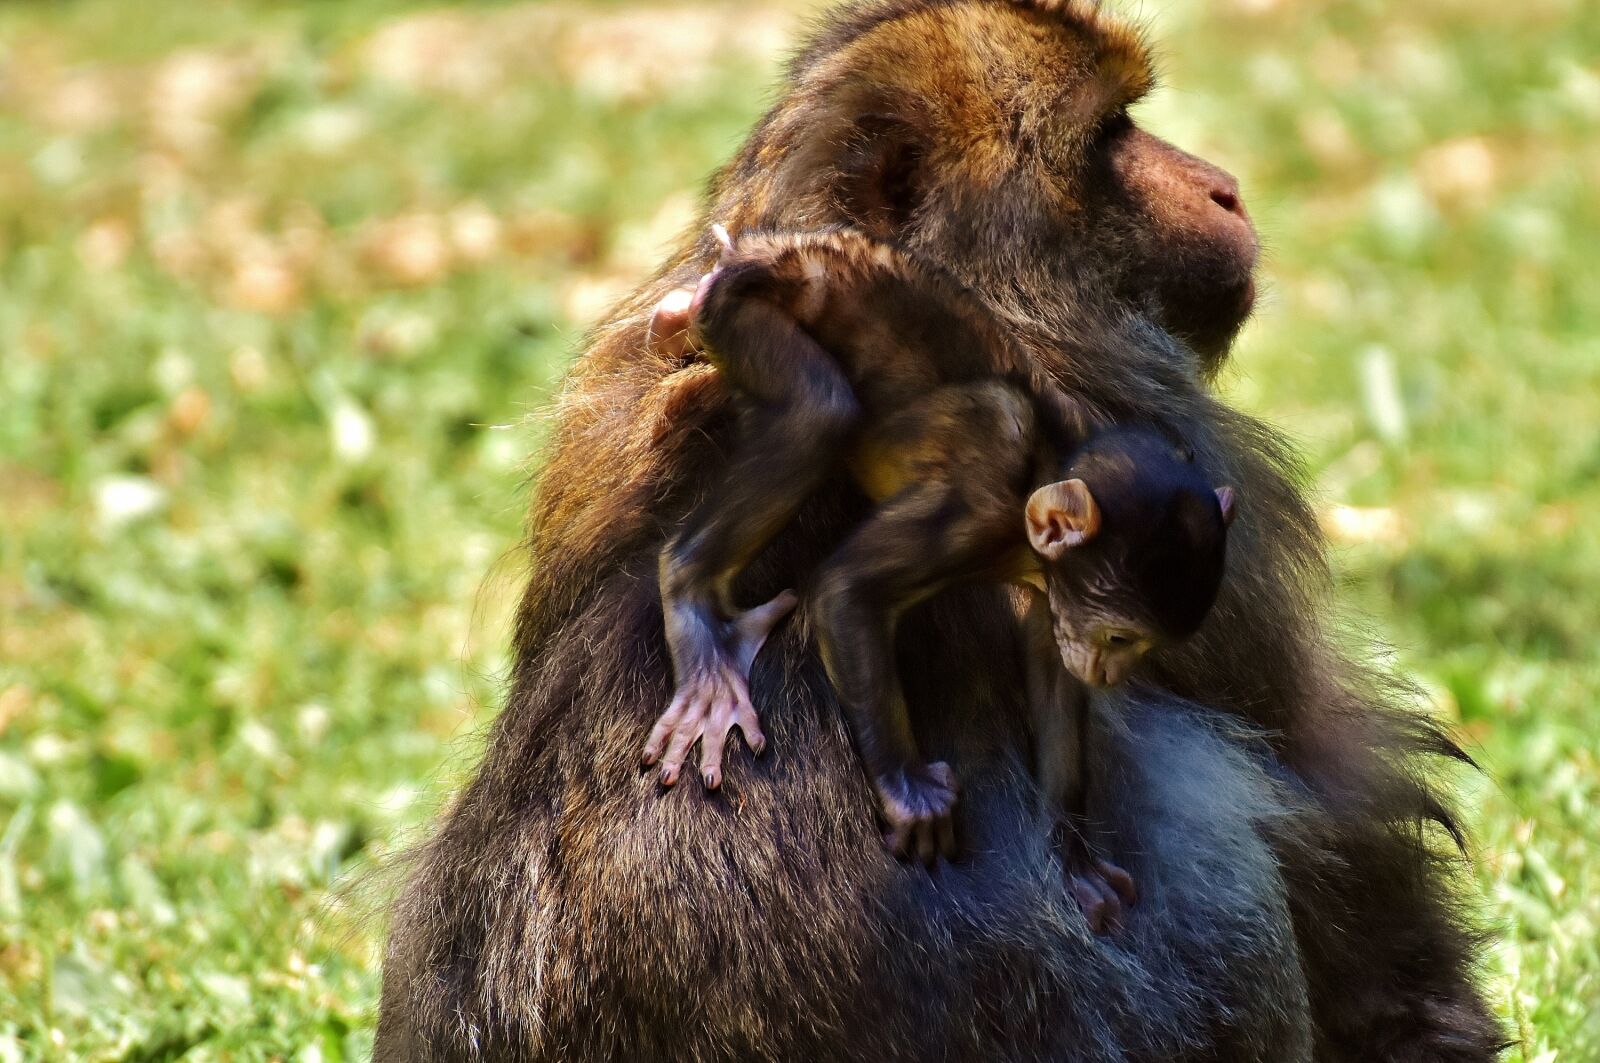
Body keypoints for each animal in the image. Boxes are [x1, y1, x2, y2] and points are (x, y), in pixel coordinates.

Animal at [643, 229, 1237, 910]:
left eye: (1139, 648)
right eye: (1119, 637)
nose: (1113, 672)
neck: (1045, 467)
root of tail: (787, 249)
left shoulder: (1057, 594)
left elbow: (1051, 671)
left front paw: (1072, 852)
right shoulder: (971, 509)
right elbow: (846, 590)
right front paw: (908, 790)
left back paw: (675, 318)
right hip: (750, 310)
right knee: (820, 410)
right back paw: (695, 605)